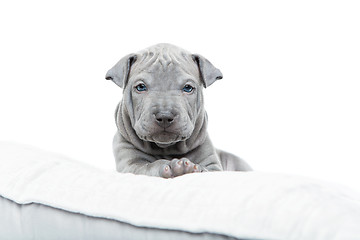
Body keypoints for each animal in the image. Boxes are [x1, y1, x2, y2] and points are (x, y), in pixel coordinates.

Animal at [105, 43, 250, 178]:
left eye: (188, 88)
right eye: (141, 87)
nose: (164, 116)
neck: (166, 148)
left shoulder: (213, 164)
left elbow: (208, 170)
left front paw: (197, 168)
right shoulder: (131, 164)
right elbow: (150, 165)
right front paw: (174, 167)